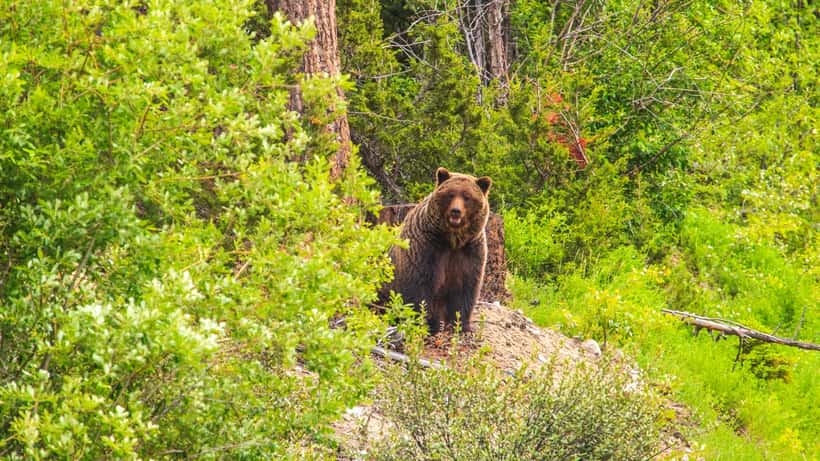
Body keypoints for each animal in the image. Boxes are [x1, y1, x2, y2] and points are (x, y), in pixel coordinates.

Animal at [379, 167, 492, 334]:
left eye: (467, 197)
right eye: (451, 194)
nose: (456, 211)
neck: (452, 240)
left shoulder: (470, 252)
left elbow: (466, 288)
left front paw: (461, 325)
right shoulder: (426, 248)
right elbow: (422, 288)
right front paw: (430, 324)